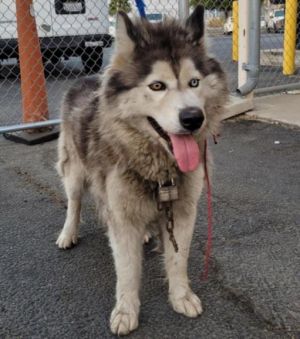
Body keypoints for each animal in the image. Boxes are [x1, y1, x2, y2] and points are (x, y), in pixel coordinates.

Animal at [55, 5, 227, 338]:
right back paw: (68, 233)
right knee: (74, 202)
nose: (193, 118)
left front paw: (181, 296)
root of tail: (85, 79)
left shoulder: (183, 210)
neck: (160, 167)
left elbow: (178, 259)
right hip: (74, 172)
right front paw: (126, 310)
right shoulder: (121, 218)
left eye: (194, 83)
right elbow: (127, 271)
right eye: (157, 86)